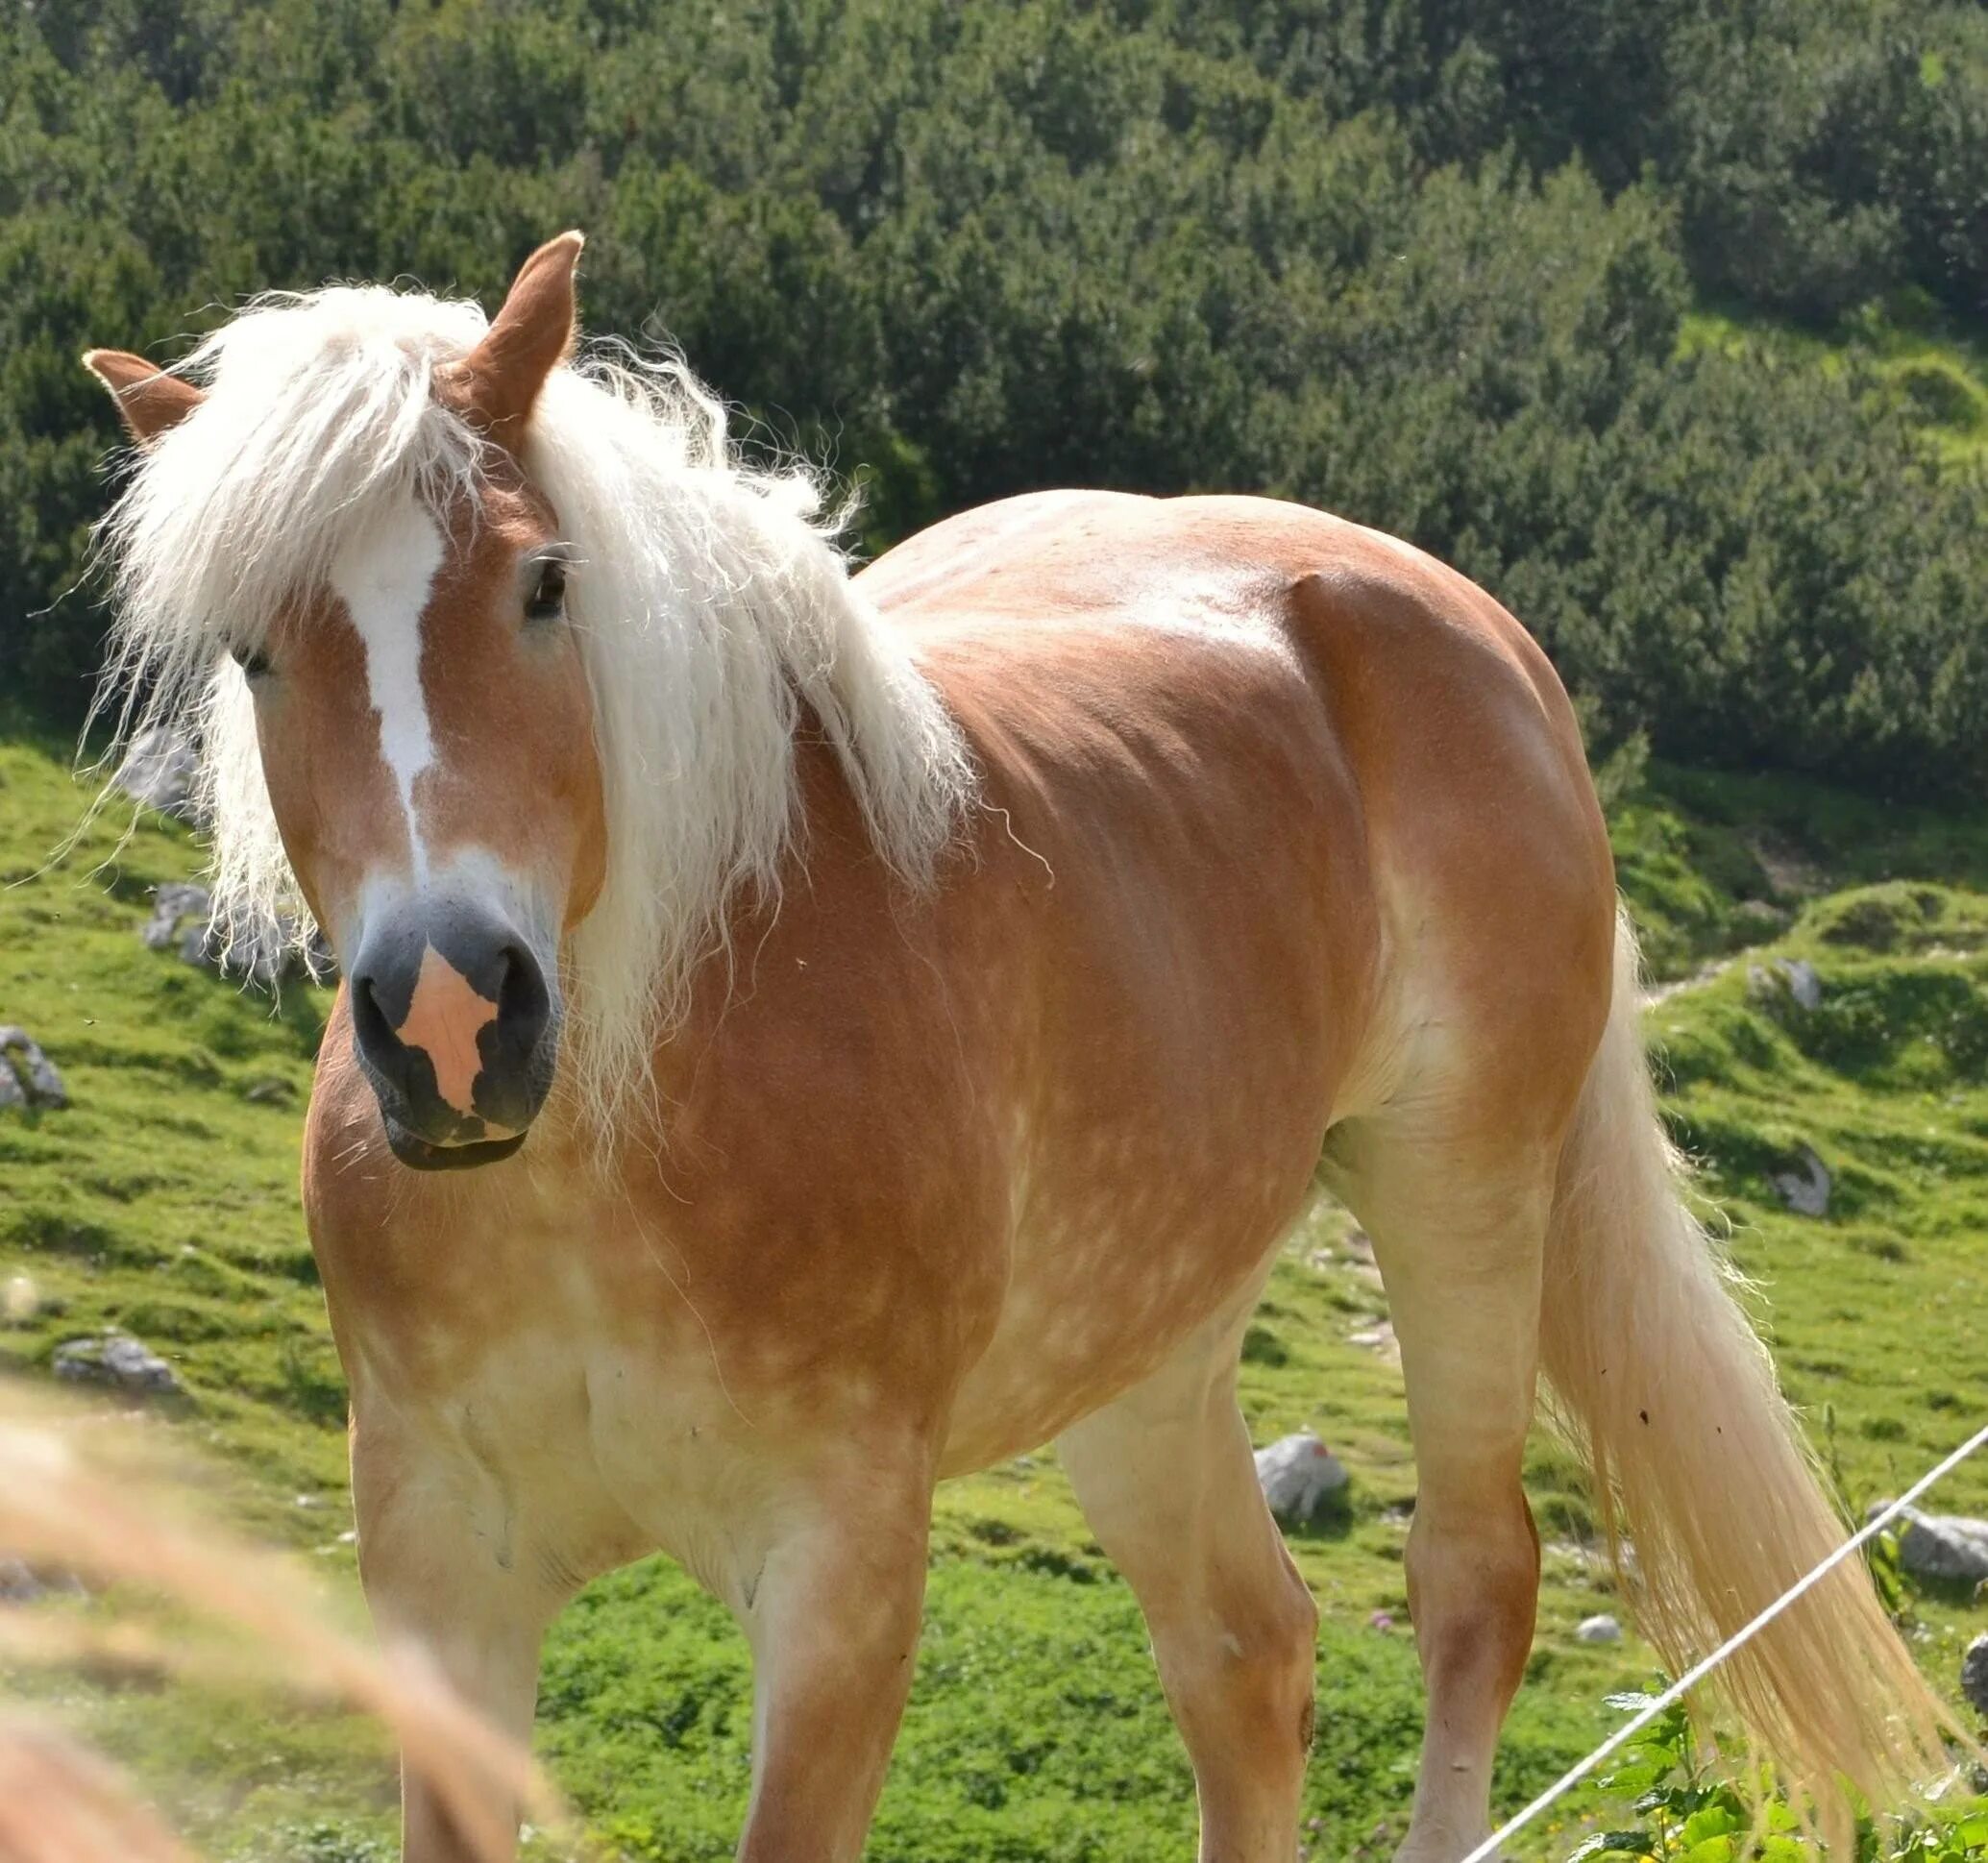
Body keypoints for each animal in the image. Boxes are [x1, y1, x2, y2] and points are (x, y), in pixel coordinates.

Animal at [85, 236, 1948, 1860]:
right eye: (254, 648)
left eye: (543, 584)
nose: (454, 1019)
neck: (612, 1151)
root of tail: (1458, 624)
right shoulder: (438, 1569)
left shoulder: (838, 1572)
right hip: (1146, 1350)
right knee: (1246, 1655)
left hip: (1461, 1192)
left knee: (1473, 1581)